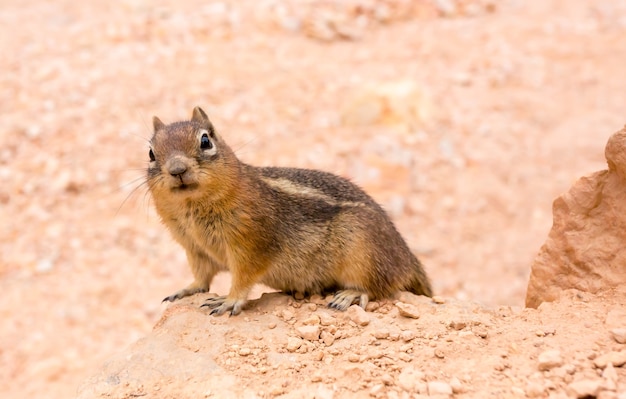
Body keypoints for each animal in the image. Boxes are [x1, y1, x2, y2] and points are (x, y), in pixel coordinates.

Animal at [147, 108, 432, 318]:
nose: (177, 169)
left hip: (364, 253)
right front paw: (186, 290)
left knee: (380, 287)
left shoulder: (251, 245)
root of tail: (407, 258)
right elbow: (201, 277)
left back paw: (350, 295)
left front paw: (229, 300)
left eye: (205, 140)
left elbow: (243, 278)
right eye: (150, 152)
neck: (192, 210)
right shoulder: (195, 249)